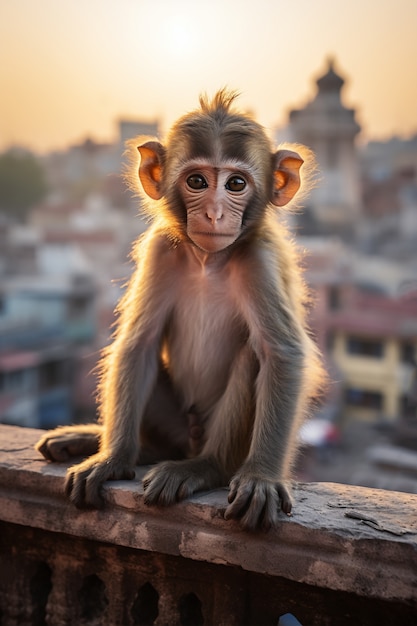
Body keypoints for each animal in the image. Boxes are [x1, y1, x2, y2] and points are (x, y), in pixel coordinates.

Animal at [34, 89, 324, 528]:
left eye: (236, 183)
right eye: (197, 181)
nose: (214, 213)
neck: (209, 260)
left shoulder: (259, 260)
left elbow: (282, 354)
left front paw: (261, 478)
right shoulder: (161, 250)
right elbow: (139, 343)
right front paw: (111, 460)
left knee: (251, 358)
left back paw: (203, 467)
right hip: (174, 425)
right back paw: (113, 444)